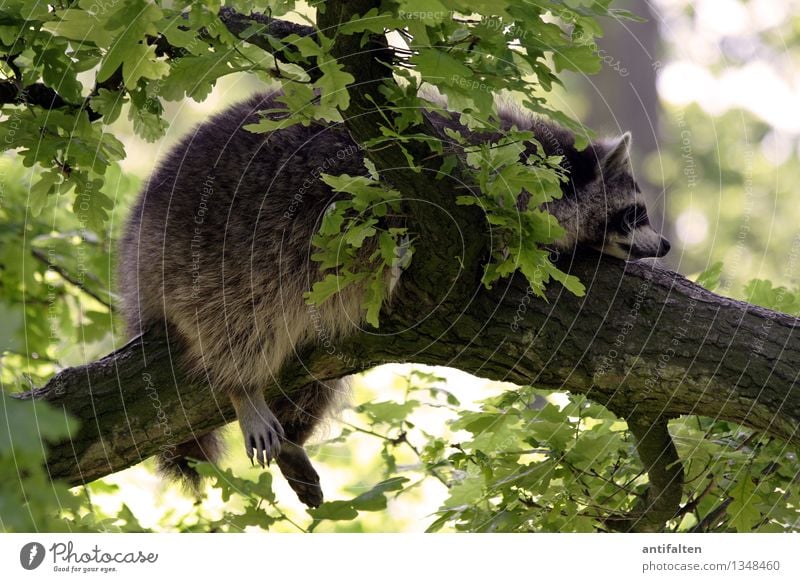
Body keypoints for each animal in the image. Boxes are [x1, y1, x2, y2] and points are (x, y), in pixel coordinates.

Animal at [119, 90, 668, 506]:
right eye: (635, 213)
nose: (664, 245)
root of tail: (134, 246)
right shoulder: (447, 187)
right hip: (217, 254)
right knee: (240, 321)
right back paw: (241, 387)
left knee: (314, 381)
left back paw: (294, 438)